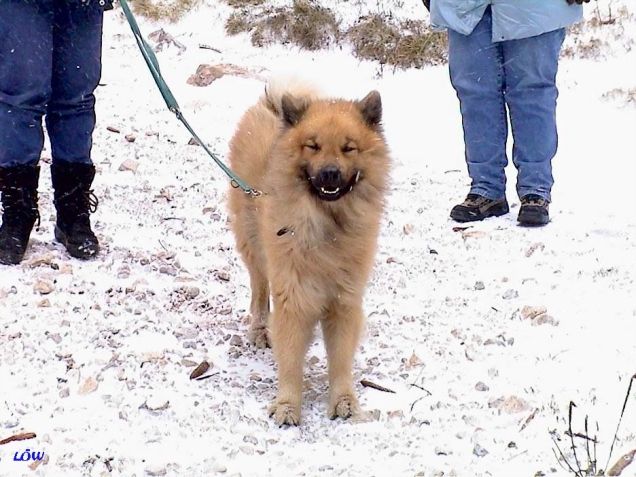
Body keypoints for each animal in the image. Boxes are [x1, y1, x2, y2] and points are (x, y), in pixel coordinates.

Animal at [226, 80, 390, 426]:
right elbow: (290, 359)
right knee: (259, 291)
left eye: (348, 148)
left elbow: (340, 361)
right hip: (254, 247)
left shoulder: (344, 300)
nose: (329, 173)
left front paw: (343, 401)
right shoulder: (294, 296)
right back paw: (260, 330)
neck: (327, 226)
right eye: (312, 146)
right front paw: (287, 405)